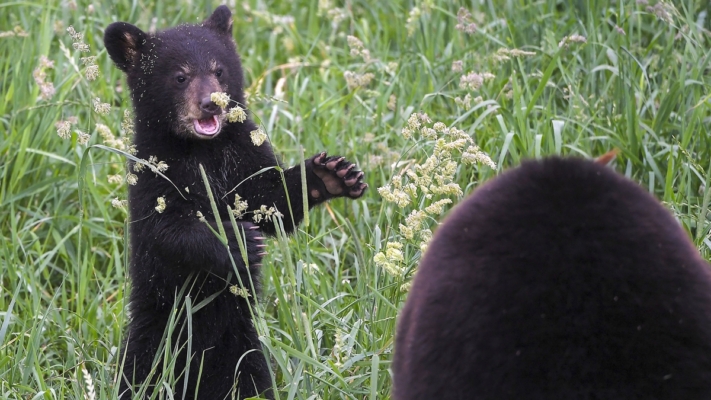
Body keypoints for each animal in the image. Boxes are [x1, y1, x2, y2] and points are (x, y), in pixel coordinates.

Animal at [104, 6, 367, 399]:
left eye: (218, 70)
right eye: (180, 76)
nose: (211, 103)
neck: (203, 151)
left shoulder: (244, 151)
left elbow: (272, 203)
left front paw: (330, 174)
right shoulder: (152, 170)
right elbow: (166, 228)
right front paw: (238, 241)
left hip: (243, 347)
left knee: (251, 380)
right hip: (154, 333)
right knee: (139, 374)